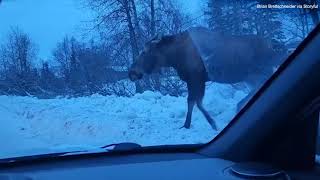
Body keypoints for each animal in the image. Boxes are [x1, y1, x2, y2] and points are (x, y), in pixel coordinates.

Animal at [129, 26, 284, 130]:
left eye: (144, 52)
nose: (131, 72)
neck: (174, 58)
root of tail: (271, 45)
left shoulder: (196, 78)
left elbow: (193, 101)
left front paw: (208, 123)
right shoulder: (196, 80)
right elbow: (195, 102)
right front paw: (190, 124)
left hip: (259, 71)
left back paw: (239, 105)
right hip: (251, 76)